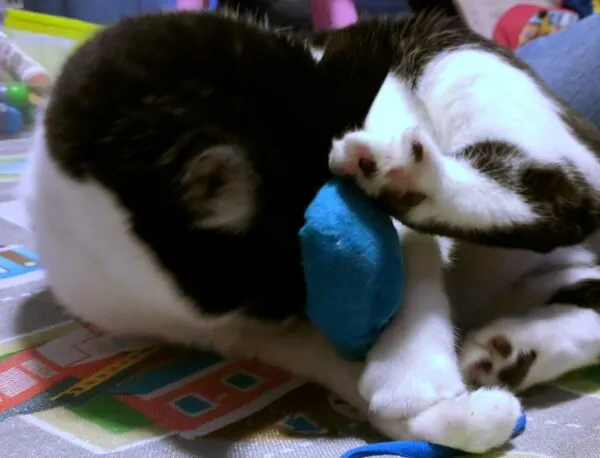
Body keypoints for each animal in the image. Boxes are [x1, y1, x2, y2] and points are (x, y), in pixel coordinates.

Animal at [19, 9, 600, 454]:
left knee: (567, 199)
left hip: (466, 68)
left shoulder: (381, 104)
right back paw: (505, 352)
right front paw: (447, 417)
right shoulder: (236, 331)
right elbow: (328, 358)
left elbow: (414, 255)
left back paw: (410, 182)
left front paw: (409, 373)